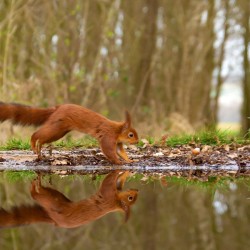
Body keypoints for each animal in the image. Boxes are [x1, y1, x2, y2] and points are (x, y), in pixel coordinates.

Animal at [0, 101, 139, 164]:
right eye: (131, 135)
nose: (137, 142)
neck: (117, 130)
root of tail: (57, 108)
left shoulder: (118, 142)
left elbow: (121, 152)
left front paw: (130, 160)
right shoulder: (108, 136)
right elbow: (108, 150)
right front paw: (118, 162)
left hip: (59, 131)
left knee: (43, 139)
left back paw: (40, 150)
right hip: (56, 128)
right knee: (37, 134)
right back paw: (34, 143)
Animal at [0, 171, 139, 228]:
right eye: (130, 198)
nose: (137, 190)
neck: (115, 202)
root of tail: (53, 220)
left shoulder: (109, 196)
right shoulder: (109, 196)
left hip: (54, 200)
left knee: (37, 195)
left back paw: (35, 187)